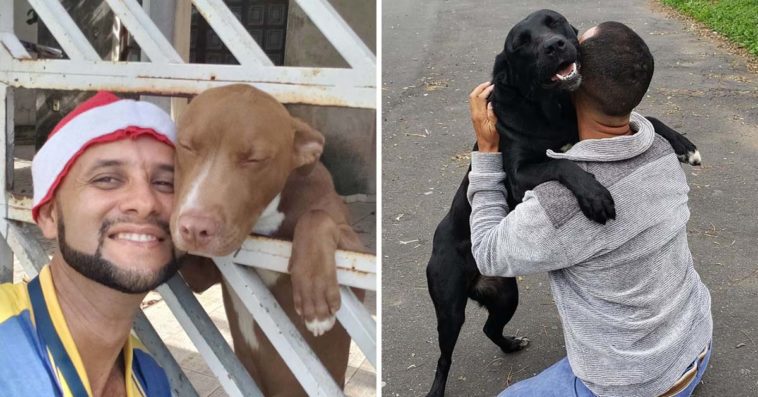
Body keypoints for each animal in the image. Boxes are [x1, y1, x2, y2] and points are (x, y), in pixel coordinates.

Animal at [171, 84, 366, 396]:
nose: (194, 228)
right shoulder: (202, 276)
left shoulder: (357, 264)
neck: (266, 224)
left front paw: (314, 297)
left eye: (255, 159)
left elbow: (316, 216)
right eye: (187, 146)